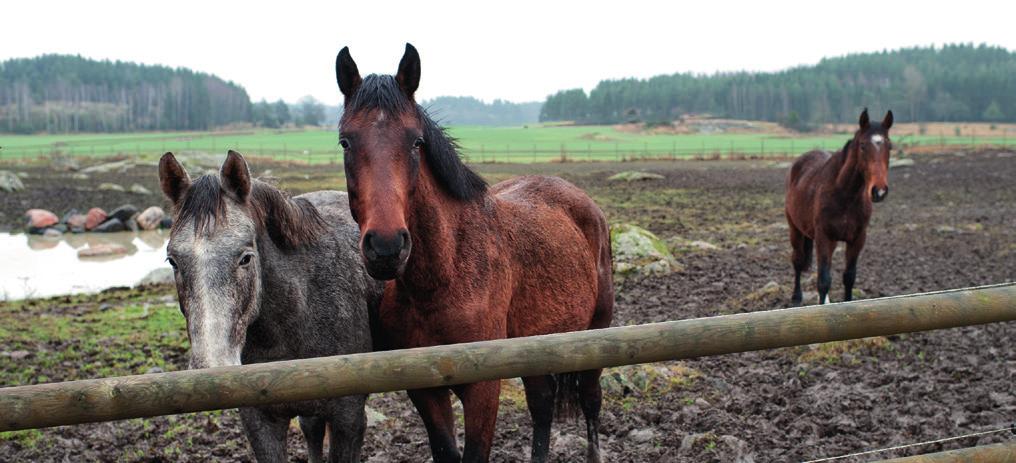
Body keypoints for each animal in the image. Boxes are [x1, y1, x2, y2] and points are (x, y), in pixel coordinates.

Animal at [337, 43, 613, 462]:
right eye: (345, 142)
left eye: (416, 142)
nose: (386, 246)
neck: (441, 277)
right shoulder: (424, 389)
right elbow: (447, 451)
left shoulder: (483, 388)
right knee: (543, 404)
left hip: (597, 333)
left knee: (591, 402)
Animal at [780, 106, 894, 306]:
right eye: (862, 146)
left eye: (889, 146)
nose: (879, 191)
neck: (845, 195)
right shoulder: (824, 238)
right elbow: (824, 280)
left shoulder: (857, 239)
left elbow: (849, 277)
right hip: (795, 229)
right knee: (797, 261)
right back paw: (796, 297)